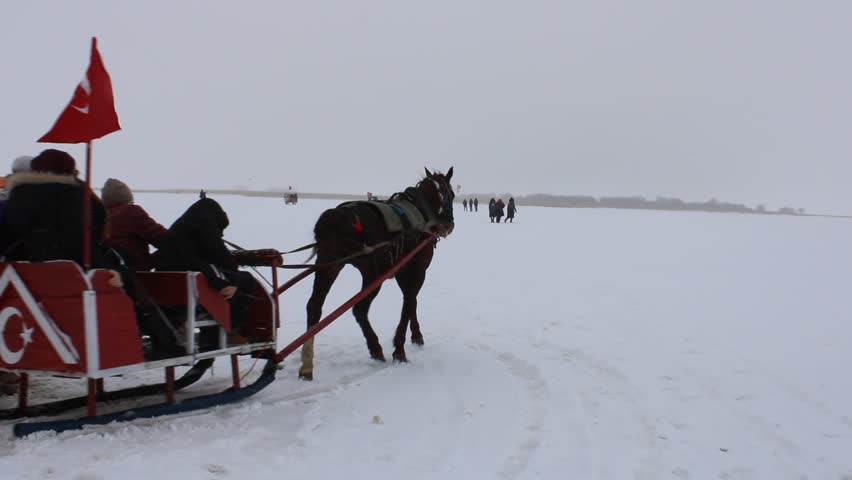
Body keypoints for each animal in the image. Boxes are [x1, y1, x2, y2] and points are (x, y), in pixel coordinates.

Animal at [299, 167, 455, 380]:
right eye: (451, 194)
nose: (449, 224)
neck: (421, 212)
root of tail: (336, 217)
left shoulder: (402, 270)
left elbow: (410, 300)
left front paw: (415, 336)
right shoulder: (417, 268)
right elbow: (409, 303)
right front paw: (400, 349)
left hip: (329, 265)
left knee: (314, 306)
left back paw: (307, 365)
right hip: (372, 273)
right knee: (359, 309)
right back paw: (375, 347)